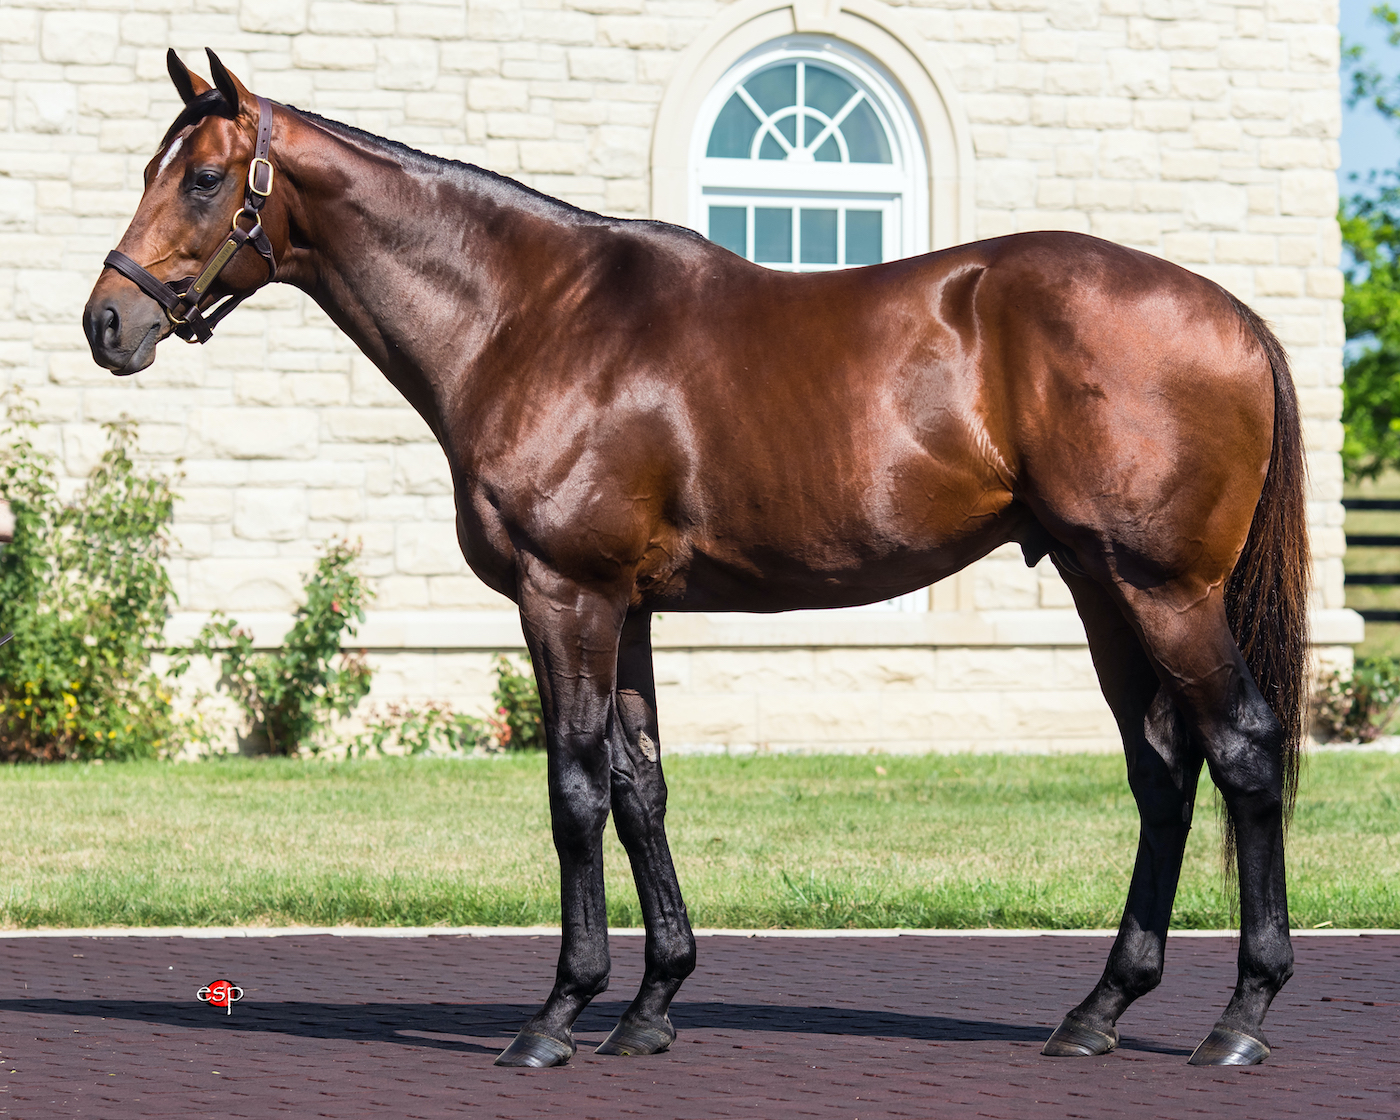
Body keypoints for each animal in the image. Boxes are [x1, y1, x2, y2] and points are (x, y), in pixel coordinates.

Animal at [85, 50, 1310, 1069]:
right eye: (151, 168)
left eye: (204, 178)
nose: (106, 323)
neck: (525, 317)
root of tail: (1236, 318)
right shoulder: (625, 609)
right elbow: (641, 790)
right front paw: (650, 1005)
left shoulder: (564, 596)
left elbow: (574, 789)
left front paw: (557, 1013)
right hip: (1103, 589)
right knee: (1163, 770)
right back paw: (1098, 1009)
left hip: (1164, 592)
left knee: (1243, 752)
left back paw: (1240, 1019)